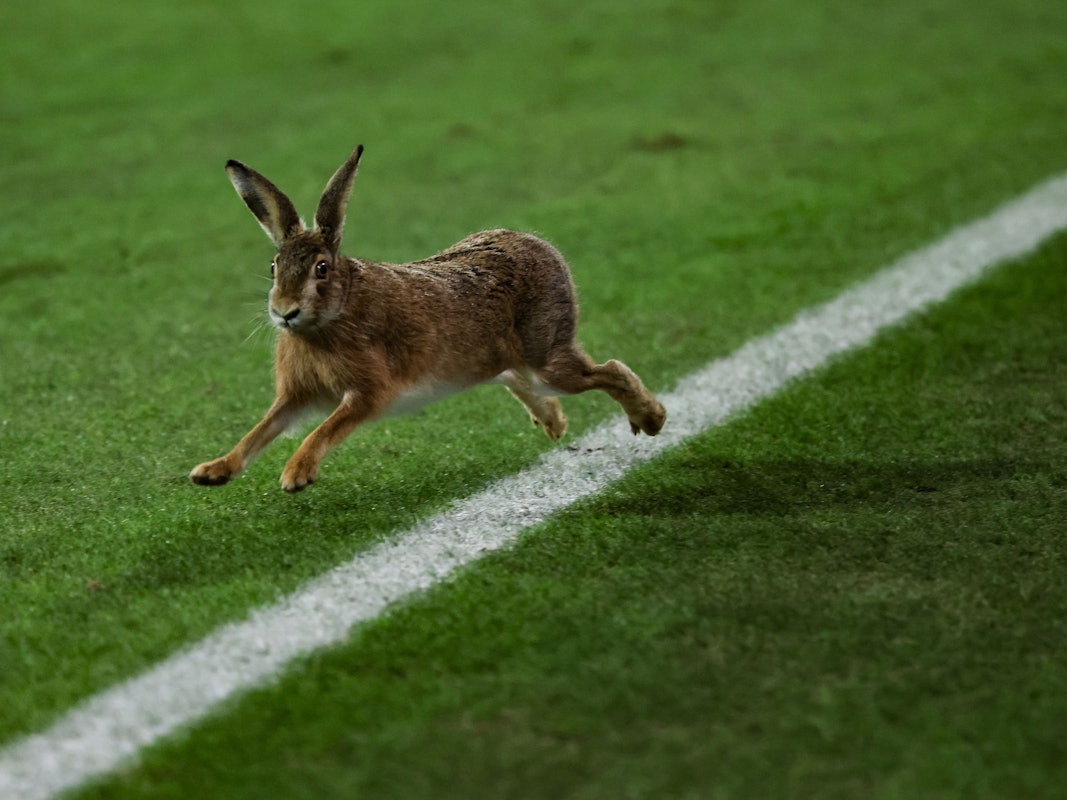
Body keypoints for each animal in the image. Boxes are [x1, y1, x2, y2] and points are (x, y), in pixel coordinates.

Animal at [190, 145, 666, 492]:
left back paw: (652, 418)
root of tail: (540, 246)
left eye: (321, 269)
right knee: (518, 378)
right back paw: (554, 423)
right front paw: (213, 471)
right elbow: (260, 430)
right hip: (496, 361)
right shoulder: (296, 395)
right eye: (274, 267)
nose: (284, 312)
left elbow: (324, 429)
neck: (333, 315)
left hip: (546, 354)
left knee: (608, 370)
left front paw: (295, 474)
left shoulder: (369, 392)